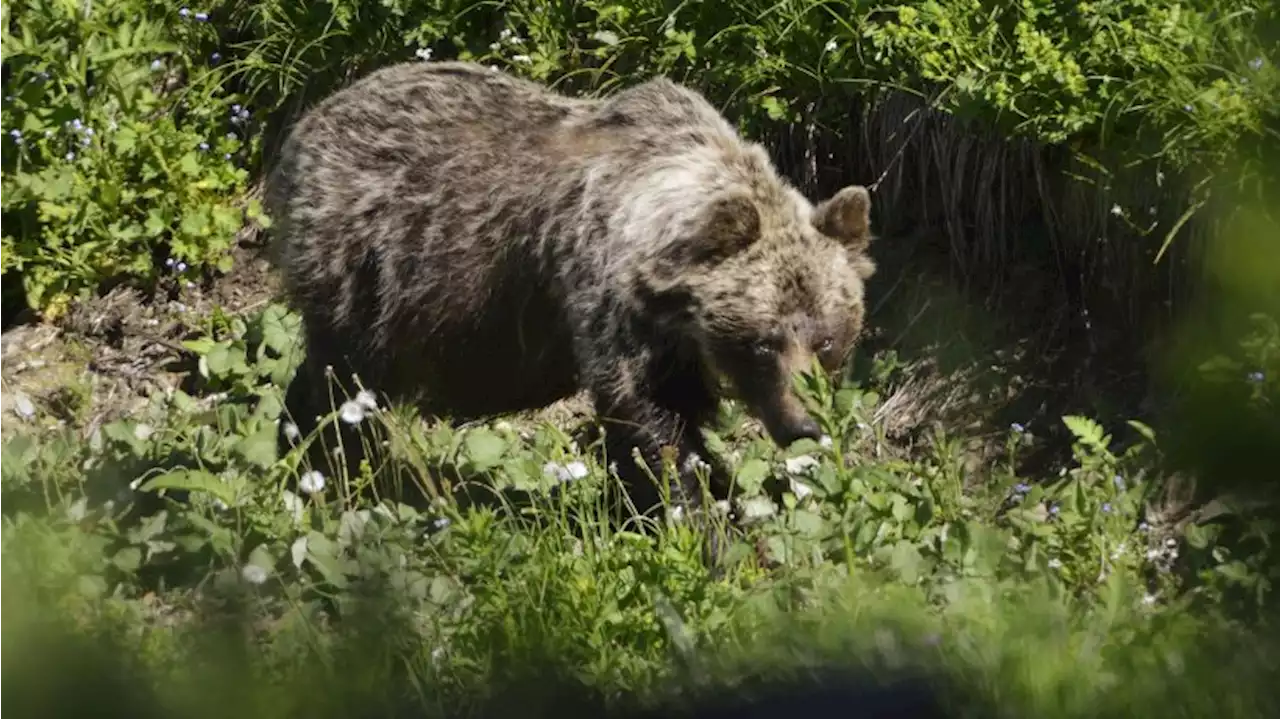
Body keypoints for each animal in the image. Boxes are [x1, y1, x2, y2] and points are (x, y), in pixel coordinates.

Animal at [262, 58, 880, 514]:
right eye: (762, 343)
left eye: (827, 339)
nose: (804, 426)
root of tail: (306, 123)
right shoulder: (608, 298)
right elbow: (651, 420)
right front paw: (695, 513)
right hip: (368, 267)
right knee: (341, 382)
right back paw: (320, 468)